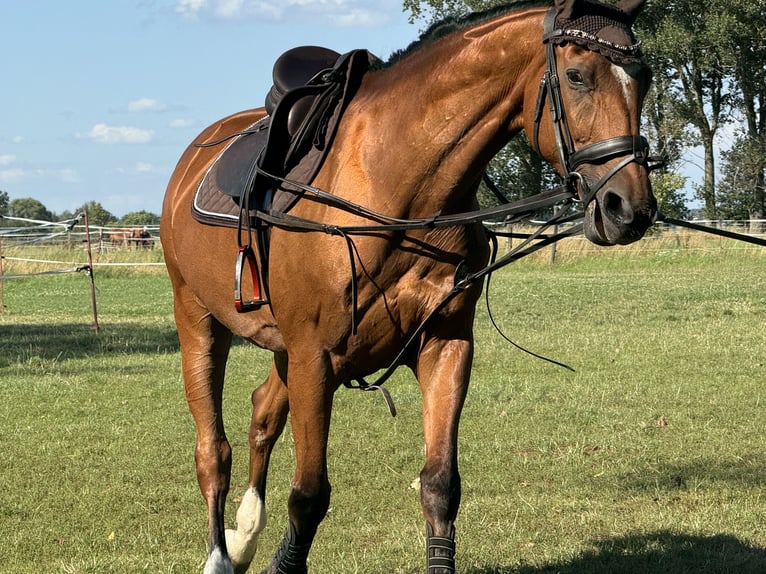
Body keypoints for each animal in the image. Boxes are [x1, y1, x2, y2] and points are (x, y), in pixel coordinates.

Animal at [162, 1, 660, 574]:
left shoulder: (444, 346)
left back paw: (243, 535)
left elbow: (440, 486)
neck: (397, 189)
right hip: (198, 321)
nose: (630, 208)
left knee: (263, 412)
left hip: (283, 349)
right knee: (212, 453)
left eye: (645, 79)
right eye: (576, 76)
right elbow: (308, 495)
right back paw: (221, 553)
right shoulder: (315, 356)